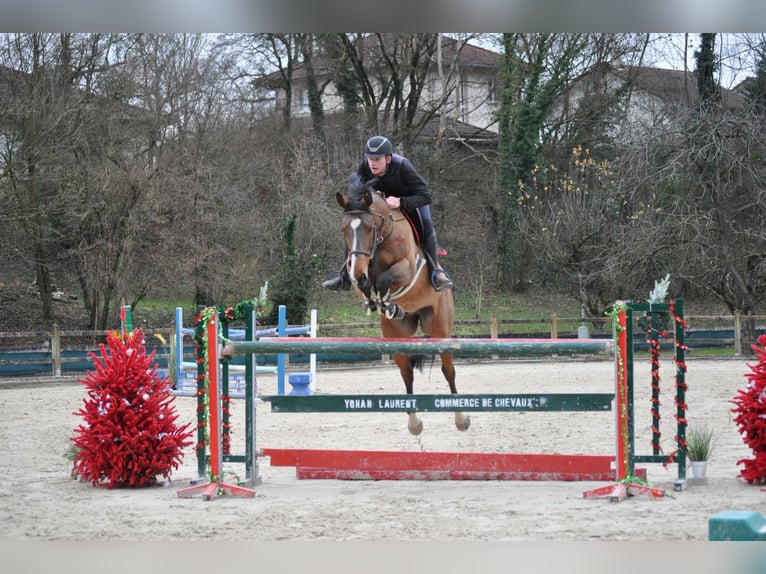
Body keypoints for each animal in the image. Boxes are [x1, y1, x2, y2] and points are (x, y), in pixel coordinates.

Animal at [334, 173, 470, 435]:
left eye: (369, 228)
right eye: (344, 229)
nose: (358, 274)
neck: (382, 237)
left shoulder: (406, 268)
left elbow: (386, 279)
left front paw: (384, 300)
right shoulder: (357, 274)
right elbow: (367, 286)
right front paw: (375, 301)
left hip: (440, 328)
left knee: (448, 371)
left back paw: (461, 419)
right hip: (396, 336)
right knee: (407, 373)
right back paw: (414, 424)